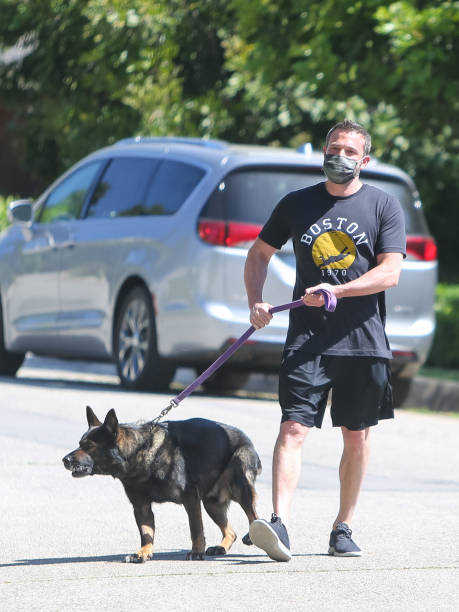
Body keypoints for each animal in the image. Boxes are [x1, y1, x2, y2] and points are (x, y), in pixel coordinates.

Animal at [63, 408, 262, 560]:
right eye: (80, 443)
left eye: (89, 446)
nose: (65, 460)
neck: (139, 453)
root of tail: (246, 438)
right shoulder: (141, 506)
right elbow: (146, 533)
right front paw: (143, 552)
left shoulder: (191, 498)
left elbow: (195, 528)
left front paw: (196, 551)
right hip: (211, 504)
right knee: (231, 532)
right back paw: (221, 547)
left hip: (240, 487)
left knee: (253, 516)